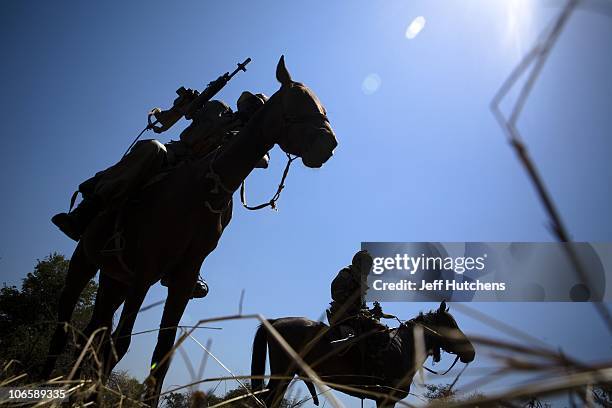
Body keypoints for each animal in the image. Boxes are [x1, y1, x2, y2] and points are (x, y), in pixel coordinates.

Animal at [43, 55, 338, 406]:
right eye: (296, 102)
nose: (329, 145)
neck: (202, 190)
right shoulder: (146, 271)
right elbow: (121, 342)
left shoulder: (182, 280)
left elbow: (162, 352)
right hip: (85, 262)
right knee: (64, 328)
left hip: (114, 280)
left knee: (91, 334)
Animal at [251, 302, 476, 406]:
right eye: (451, 325)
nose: (471, 353)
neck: (405, 347)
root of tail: (275, 321)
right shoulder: (386, 399)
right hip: (283, 374)